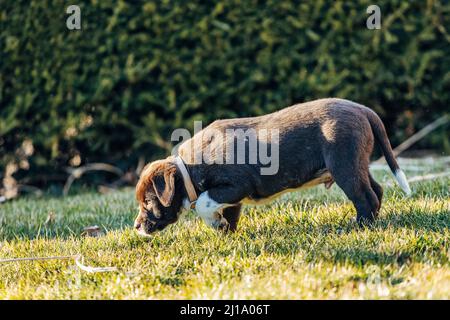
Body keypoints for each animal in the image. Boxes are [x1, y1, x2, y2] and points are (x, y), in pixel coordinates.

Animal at [134, 97, 412, 235]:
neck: (188, 170)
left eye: (148, 202)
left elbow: (203, 202)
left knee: (365, 197)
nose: (136, 227)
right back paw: (373, 221)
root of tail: (363, 109)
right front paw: (224, 233)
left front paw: (216, 225)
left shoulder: (236, 185)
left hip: (344, 165)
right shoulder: (232, 197)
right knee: (376, 190)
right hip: (358, 163)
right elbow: (228, 215)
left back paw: (360, 226)